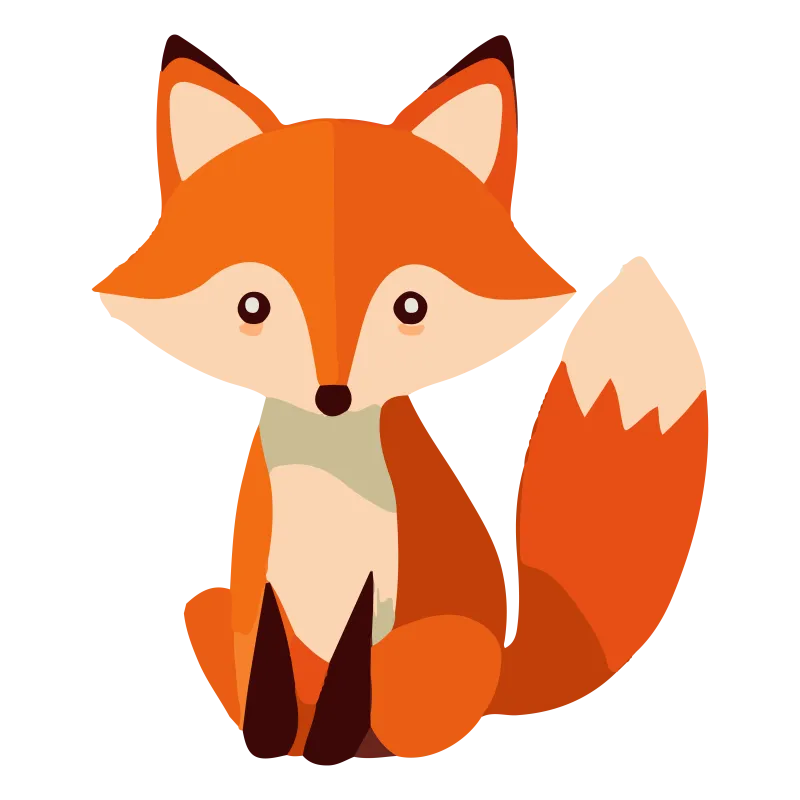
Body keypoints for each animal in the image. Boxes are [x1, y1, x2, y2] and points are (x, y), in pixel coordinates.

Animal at [91, 34, 710, 765]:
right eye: (254, 307)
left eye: (410, 308)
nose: (332, 395)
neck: (327, 486)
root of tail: (506, 664)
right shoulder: (259, 587)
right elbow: (267, 674)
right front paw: (269, 745)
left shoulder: (372, 597)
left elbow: (347, 683)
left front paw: (327, 749)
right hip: (205, 605)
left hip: (439, 645)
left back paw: (366, 749)